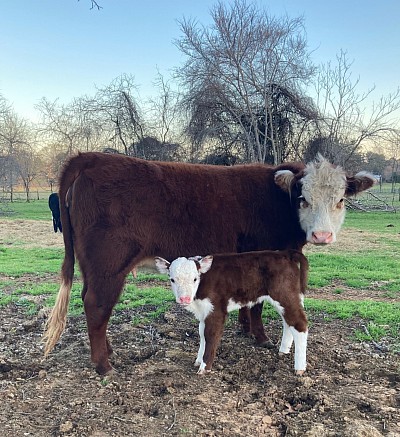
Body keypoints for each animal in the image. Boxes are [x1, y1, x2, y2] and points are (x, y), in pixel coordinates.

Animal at [155, 249, 310, 374]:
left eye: (194, 278)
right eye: (172, 279)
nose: (184, 298)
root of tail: (284, 253)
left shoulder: (216, 310)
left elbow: (210, 335)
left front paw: (204, 367)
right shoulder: (204, 311)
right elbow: (202, 334)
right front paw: (198, 360)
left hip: (284, 294)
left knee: (300, 323)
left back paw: (299, 368)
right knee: (288, 322)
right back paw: (283, 350)